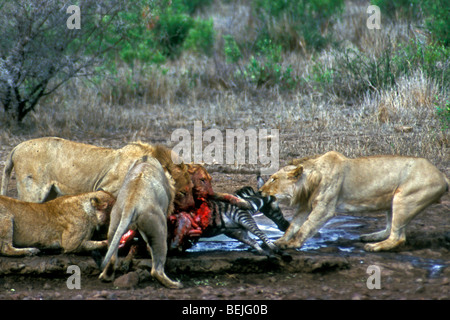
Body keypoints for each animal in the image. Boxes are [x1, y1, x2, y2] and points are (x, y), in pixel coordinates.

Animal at [1, 137, 195, 210]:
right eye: (183, 192)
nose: (193, 206)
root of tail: (16, 147)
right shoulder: (107, 188)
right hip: (33, 191)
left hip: (49, 193)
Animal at [99, 159, 182, 288]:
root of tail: (131, 203)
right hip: (159, 227)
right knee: (156, 270)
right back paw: (175, 284)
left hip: (114, 224)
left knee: (112, 256)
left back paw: (106, 276)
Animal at [258, 151, 448, 251]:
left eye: (274, 179)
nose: (259, 191)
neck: (310, 181)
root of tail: (441, 174)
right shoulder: (305, 205)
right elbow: (294, 225)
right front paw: (281, 240)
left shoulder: (324, 208)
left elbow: (305, 227)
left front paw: (292, 244)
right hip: (392, 201)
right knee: (389, 229)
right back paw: (370, 237)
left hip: (404, 199)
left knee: (398, 237)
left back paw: (374, 246)